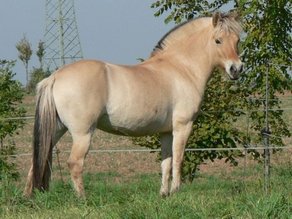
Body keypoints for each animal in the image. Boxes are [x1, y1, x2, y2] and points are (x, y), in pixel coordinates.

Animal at [24, 11, 244, 198]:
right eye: (218, 40)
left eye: (237, 40)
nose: (236, 69)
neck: (181, 68)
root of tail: (54, 76)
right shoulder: (183, 126)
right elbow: (178, 159)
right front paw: (176, 191)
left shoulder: (166, 131)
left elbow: (166, 162)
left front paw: (164, 194)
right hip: (82, 133)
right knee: (75, 163)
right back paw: (82, 199)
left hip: (56, 129)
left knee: (37, 158)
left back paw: (29, 198)